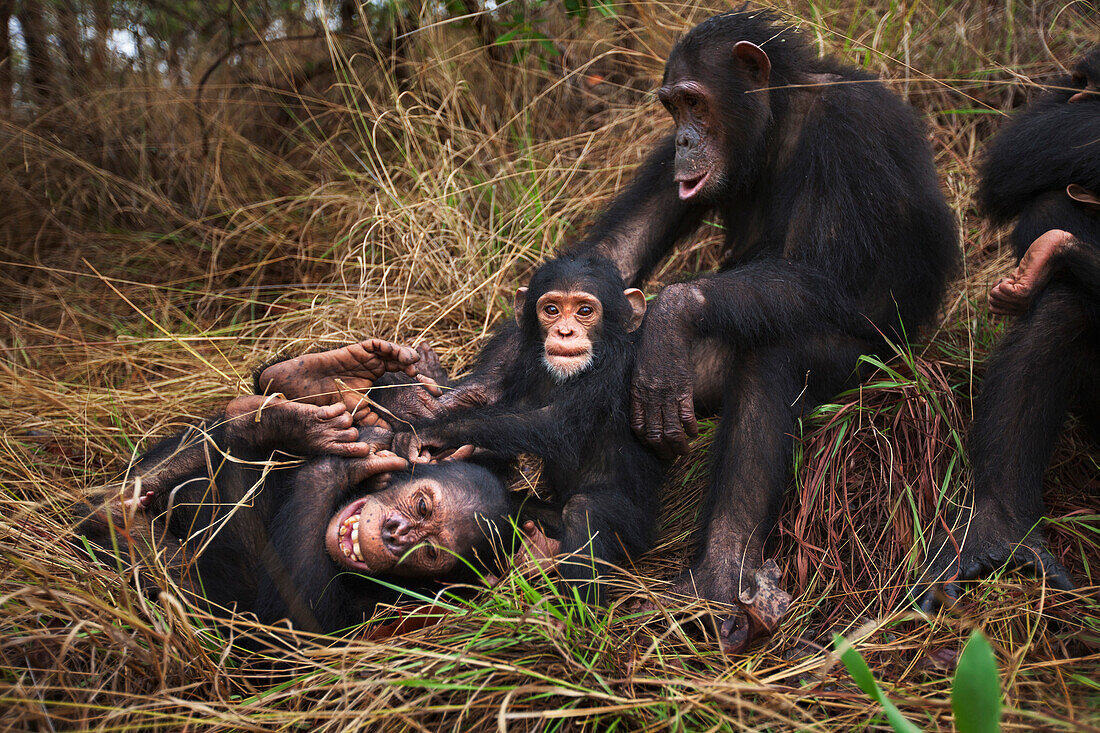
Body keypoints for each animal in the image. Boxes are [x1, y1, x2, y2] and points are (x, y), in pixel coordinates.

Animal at [77, 343, 523, 633]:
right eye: (423, 505)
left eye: (429, 553)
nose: (395, 532)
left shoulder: (393, 613)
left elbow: (293, 627)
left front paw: (335, 468)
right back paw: (303, 390)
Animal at [391, 254, 664, 603]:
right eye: (551, 309)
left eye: (584, 311)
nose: (564, 331)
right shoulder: (514, 350)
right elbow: (479, 392)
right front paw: (413, 402)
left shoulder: (612, 370)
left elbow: (552, 421)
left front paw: (432, 433)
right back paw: (539, 552)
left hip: (634, 530)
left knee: (583, 511)